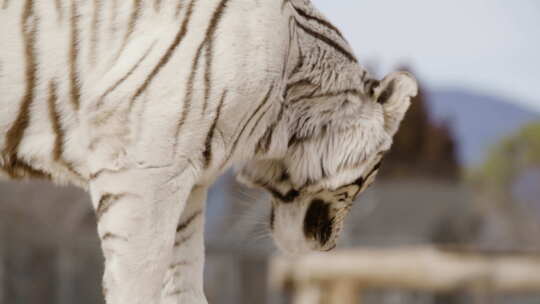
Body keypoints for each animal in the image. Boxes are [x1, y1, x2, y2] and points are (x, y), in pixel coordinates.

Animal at [0, 0, 418, 304]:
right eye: (371, 175)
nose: (330, 246)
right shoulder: (141, 166)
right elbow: (140, 276)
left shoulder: (184, 179)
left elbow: (184, 278)